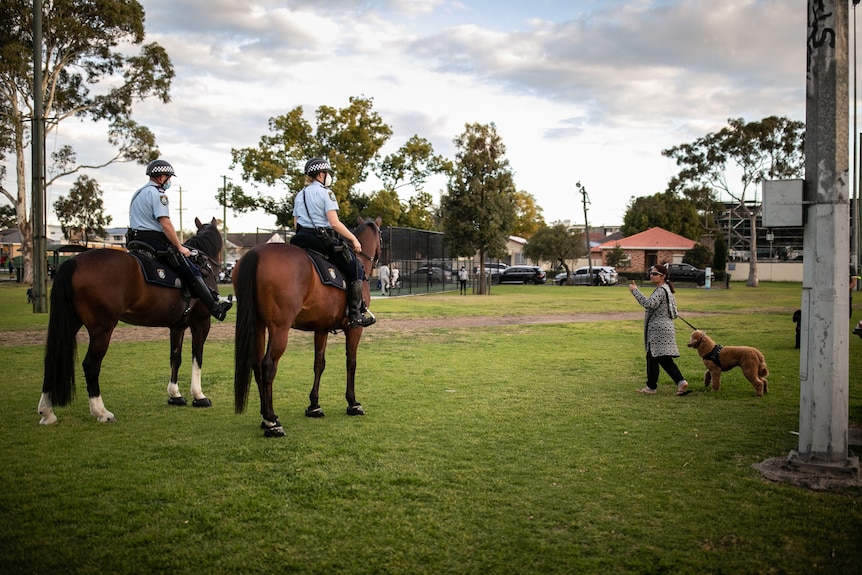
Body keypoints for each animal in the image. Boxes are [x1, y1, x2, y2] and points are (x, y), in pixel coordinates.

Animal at [38, 216, 226, 424]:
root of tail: (72, 262)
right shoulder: (201, 323)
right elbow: (197, 357)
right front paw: (199, 395)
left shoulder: (177, 327)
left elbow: (175, 358)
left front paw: (175, 395)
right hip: (102, 329)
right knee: (91, 365)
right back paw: (101, 411)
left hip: (72, 324)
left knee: (52, 361)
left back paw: (47, 412)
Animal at [236, 216, 384, 436]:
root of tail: (255, 253)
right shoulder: (354, 329)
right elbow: (351, 362)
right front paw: (352, 403)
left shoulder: (321, 329)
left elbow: (318, 364)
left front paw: (314, 405)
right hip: (279, 328)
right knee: (268, 365)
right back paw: (272, 422)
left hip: (258, 326)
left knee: (256, 364)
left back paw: (266, 416)